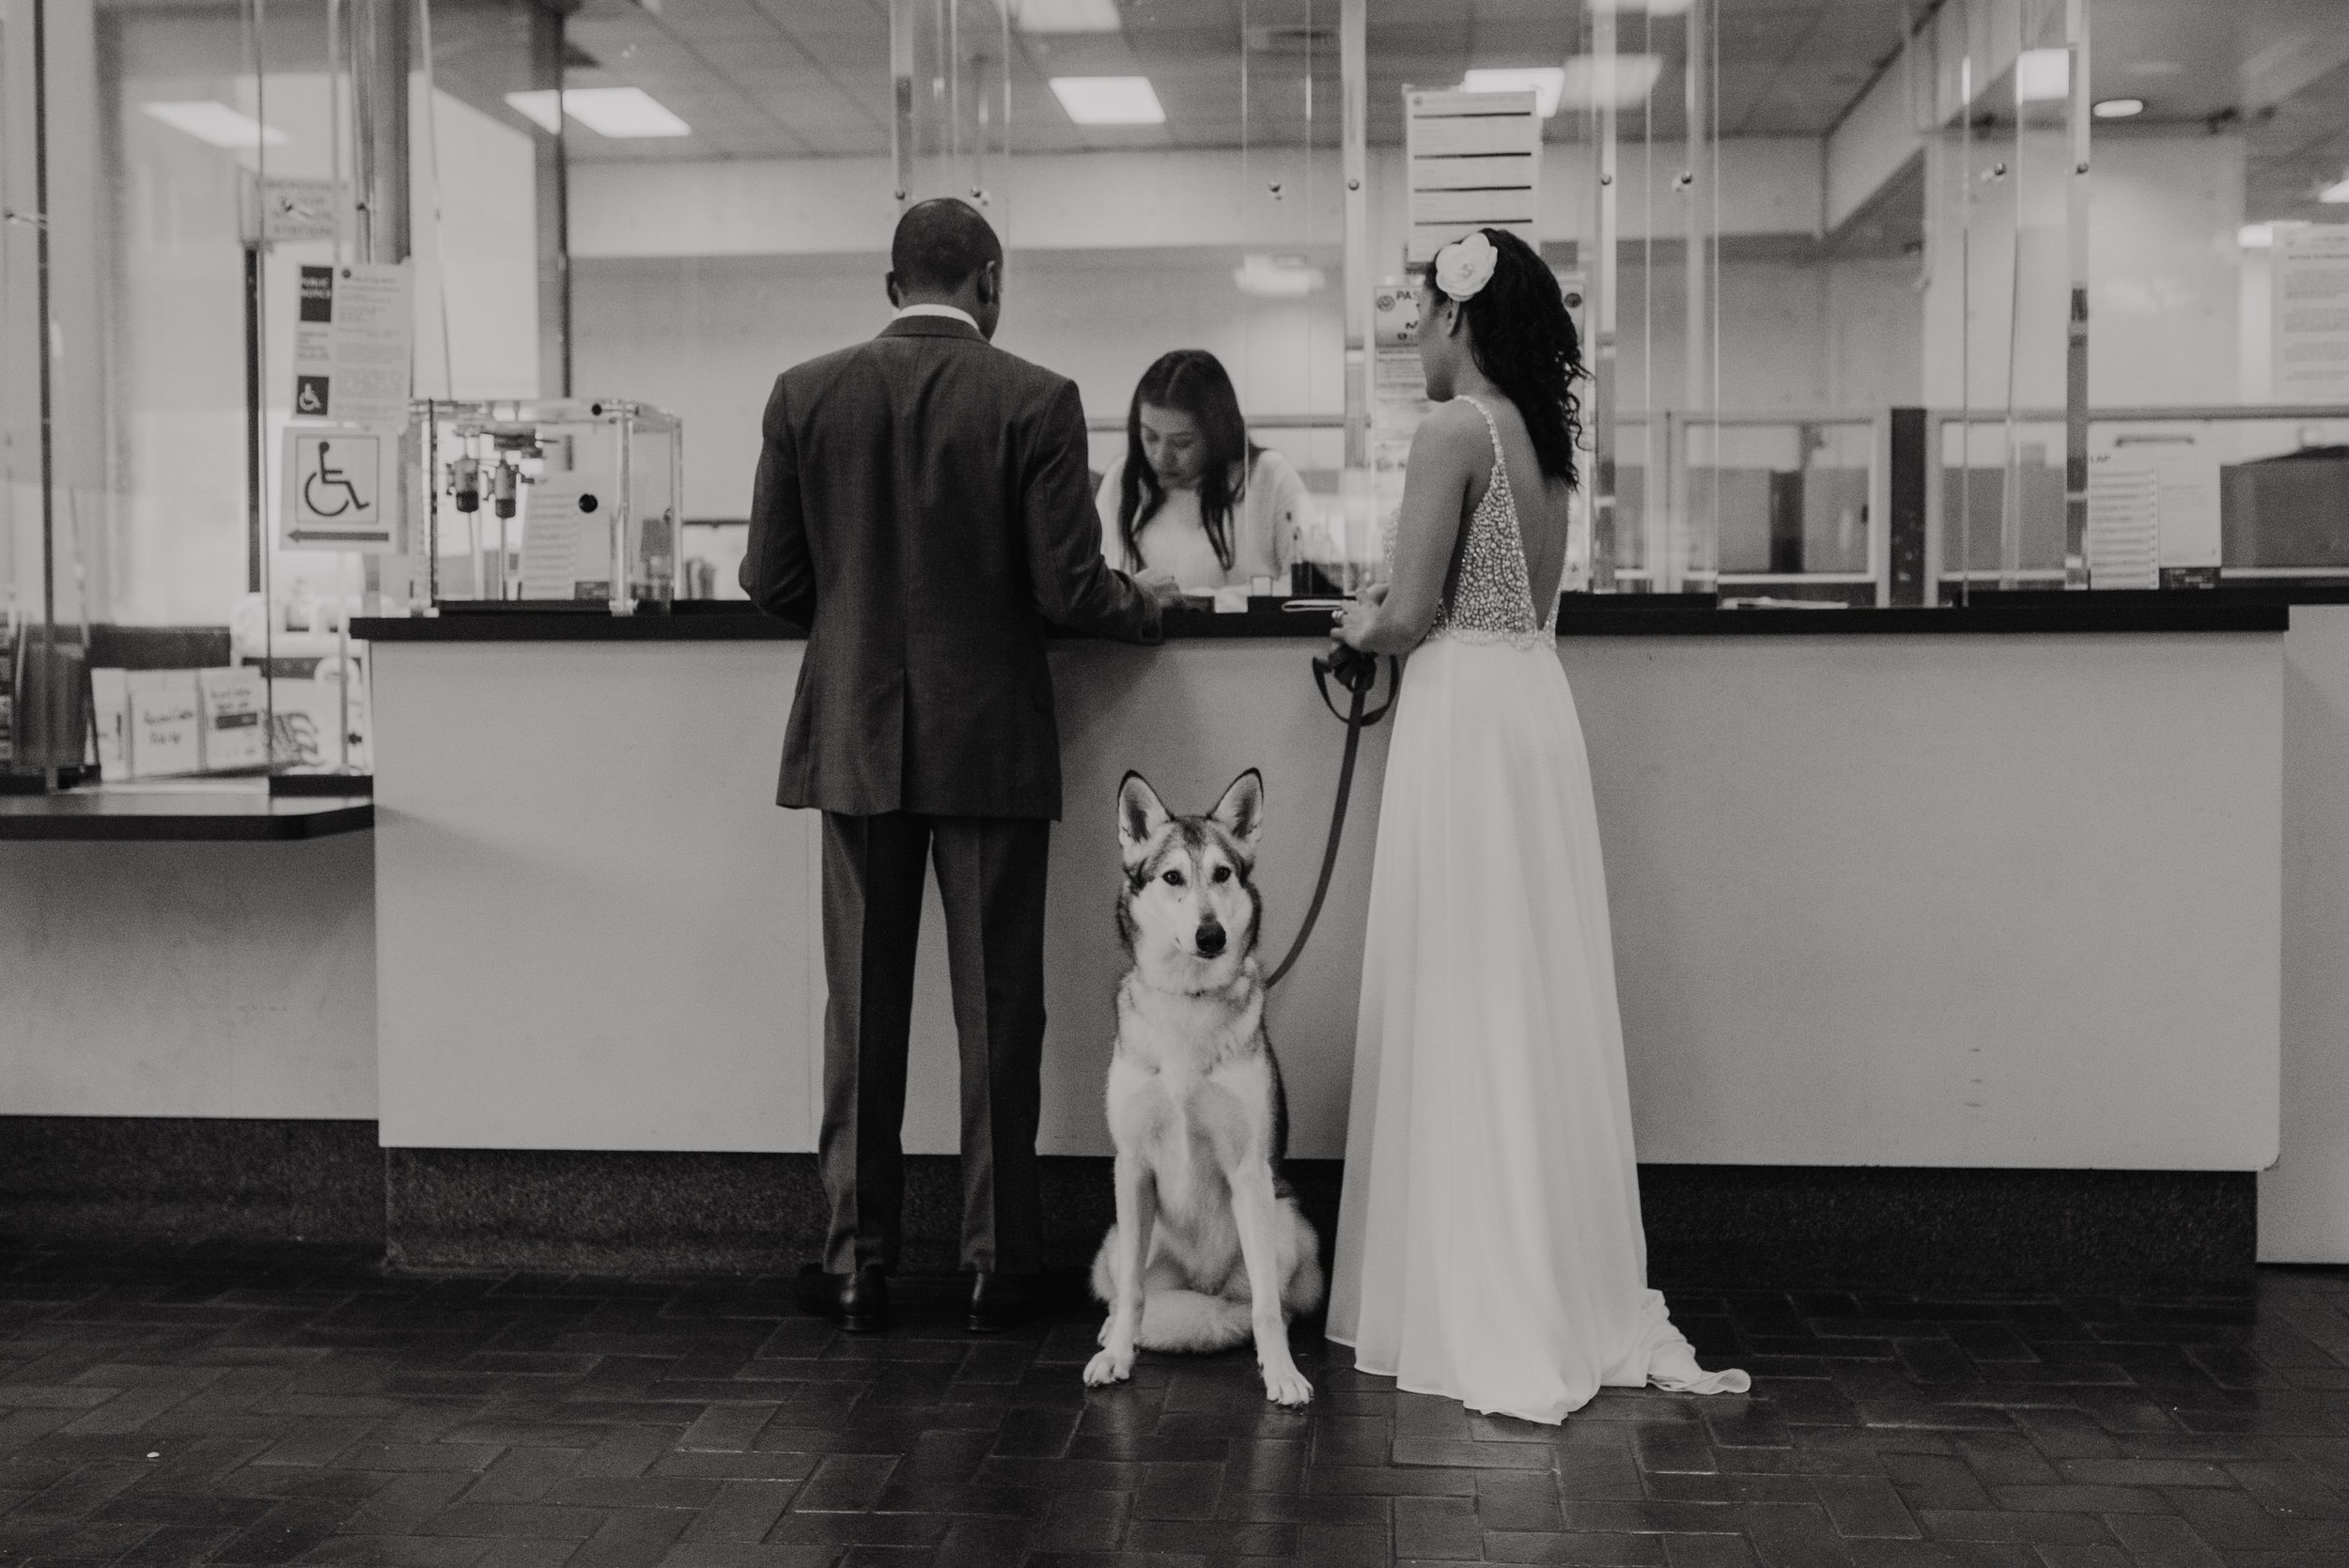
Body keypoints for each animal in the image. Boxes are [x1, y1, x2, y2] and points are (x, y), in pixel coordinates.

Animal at [1081, 769, 1325, 1408]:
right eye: (1172, 878)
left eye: (1222, 874)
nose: (1210, 935)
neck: (1187, 1003)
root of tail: (1204, 1288)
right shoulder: (1131, 1165)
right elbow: (1133, 1295)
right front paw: (1118, 1357)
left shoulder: (1249, 1170)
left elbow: (1265, 1306)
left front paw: (1281, 1372)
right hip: (1118, 1238)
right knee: (1130, 1290)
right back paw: (1114, 1331)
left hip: (1289, 1225)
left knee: (1267, 1300)